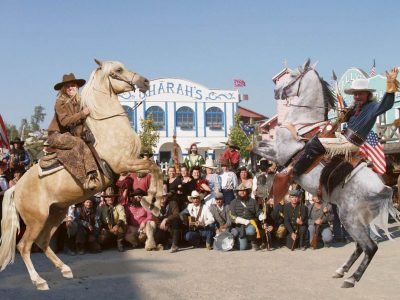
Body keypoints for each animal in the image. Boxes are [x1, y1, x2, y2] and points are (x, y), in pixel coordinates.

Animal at [0, 59, 164, 290]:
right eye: (118, 70)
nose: (145, 82)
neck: (107, 129)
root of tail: (17, 187)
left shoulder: (131, 163)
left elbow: (154, 169)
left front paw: (154, 201)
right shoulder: (123, 164)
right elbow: (153, 167)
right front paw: (152, 201)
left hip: (56, 213)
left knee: (42, 242)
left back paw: (65, 270)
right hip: (36, 220)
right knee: (24, 246)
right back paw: (39, 281)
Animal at [252, 59, 400, 288]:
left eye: (292, 76)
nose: (277, 92)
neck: (303, 124)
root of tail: (384, 189)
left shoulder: (279, 152)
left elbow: (256, 148)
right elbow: (256, 145)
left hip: (350, 218)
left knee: (370, 247)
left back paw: (352, 278)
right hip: (356, 220)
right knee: (360, 246)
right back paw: (341, 270)